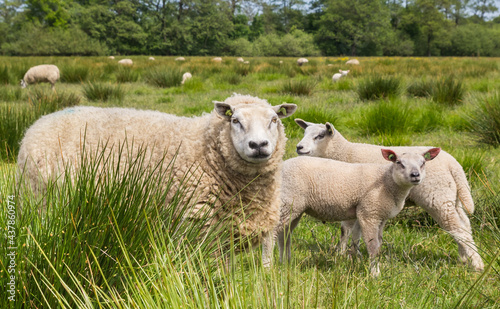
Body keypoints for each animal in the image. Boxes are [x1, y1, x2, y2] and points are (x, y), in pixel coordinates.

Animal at [17, 93, 298, 253]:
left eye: (274, 120)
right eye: (235, 120)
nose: (259, 145)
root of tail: (35, 126)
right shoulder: (196, 224)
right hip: (46, 203)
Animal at [264, 147, 440, 274]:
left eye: (423, 162)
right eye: (398, 162)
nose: (415, 175)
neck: (387, 182)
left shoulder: (381, 217)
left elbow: (377, 244)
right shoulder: (369, 212)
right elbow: (373, 246)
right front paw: (375, 274)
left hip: (293, 207)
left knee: (284, 235)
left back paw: (285, 263)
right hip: (287, 200)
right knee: (270, 234)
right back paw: (267, 267)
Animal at [292, 118, 484, 270]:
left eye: (319, 136)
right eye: (305, 132)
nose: (299, 147)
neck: (345, 152)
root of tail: (454, 164)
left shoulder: (349, 194)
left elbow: (345, 229)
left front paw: (341, 253)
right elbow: (356, 231)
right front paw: (354, 254)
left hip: (437, 197)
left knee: (458, 229)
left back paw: (477, 264)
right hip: (451, 197)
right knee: (464, 225)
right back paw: (464, 257)